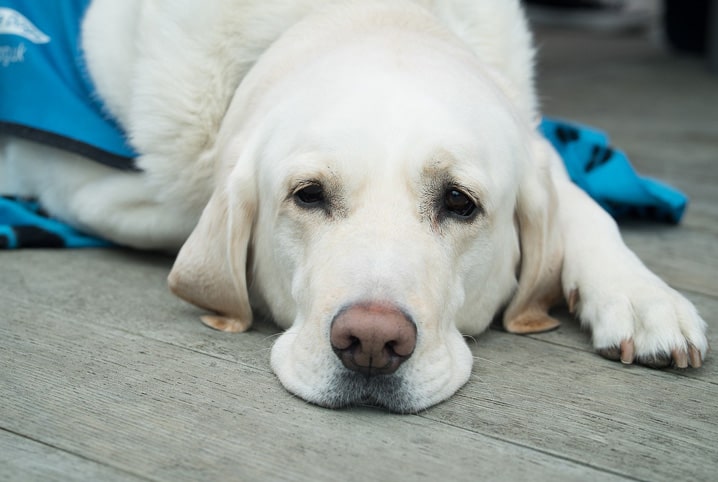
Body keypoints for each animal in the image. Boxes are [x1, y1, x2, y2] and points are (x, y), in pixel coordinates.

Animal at [0, 0, 708, 414]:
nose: (370, 341)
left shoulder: (536, 146)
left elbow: (581, 204)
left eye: (459, 202)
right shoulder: (86, 181)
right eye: (308, 194)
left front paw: (642, 298)